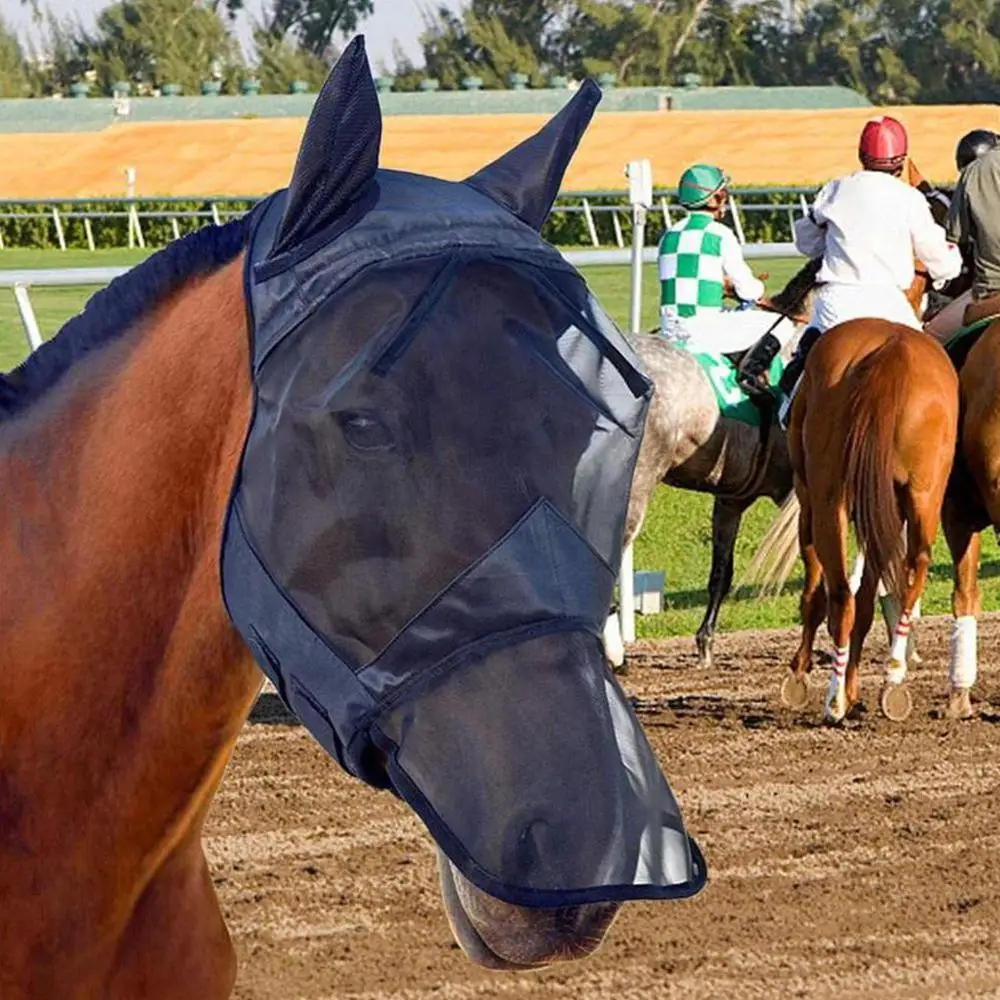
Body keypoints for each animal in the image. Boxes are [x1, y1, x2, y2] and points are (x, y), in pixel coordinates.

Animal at [753, 319, 959, 725]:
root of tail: (894, 350)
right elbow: (869, 601)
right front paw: (854, 687)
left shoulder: (809, 501)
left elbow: (816, 595)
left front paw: (801, 676)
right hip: (924, 497)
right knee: (911, 574)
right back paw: (892, 678)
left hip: (828, 503)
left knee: (840, 595)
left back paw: (833, 701)